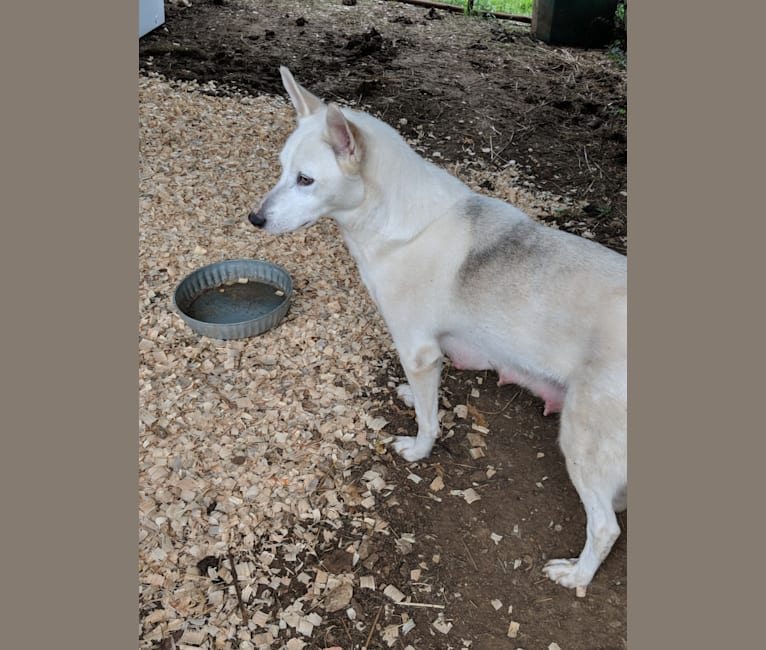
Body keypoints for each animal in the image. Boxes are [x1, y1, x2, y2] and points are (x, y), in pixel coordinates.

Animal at [252, 67, 632, 588]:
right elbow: (426, 398)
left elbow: (431, 422)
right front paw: (412, 399)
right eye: (281, 169)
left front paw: (417, 449)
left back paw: (576, 575)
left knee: (605, 527)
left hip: (580, 439)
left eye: (305, 179)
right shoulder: (430, 355)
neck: (389, 221)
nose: (255, 218)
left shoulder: (418, 350)